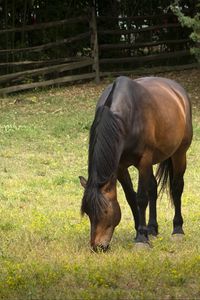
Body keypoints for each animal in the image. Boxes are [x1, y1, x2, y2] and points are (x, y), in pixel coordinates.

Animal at [79, 75, 192, 251]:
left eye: (105, 212)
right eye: (88, 213)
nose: (97, 247)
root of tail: (178, 91)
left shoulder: (144, 161)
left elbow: (141, 198)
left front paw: (141, 239)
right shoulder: (120, 167)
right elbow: (131, 197)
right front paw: (142, 231)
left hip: (179, 153)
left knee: (176, 187)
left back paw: (178, 230)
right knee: (153, 188)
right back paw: (152, 228)